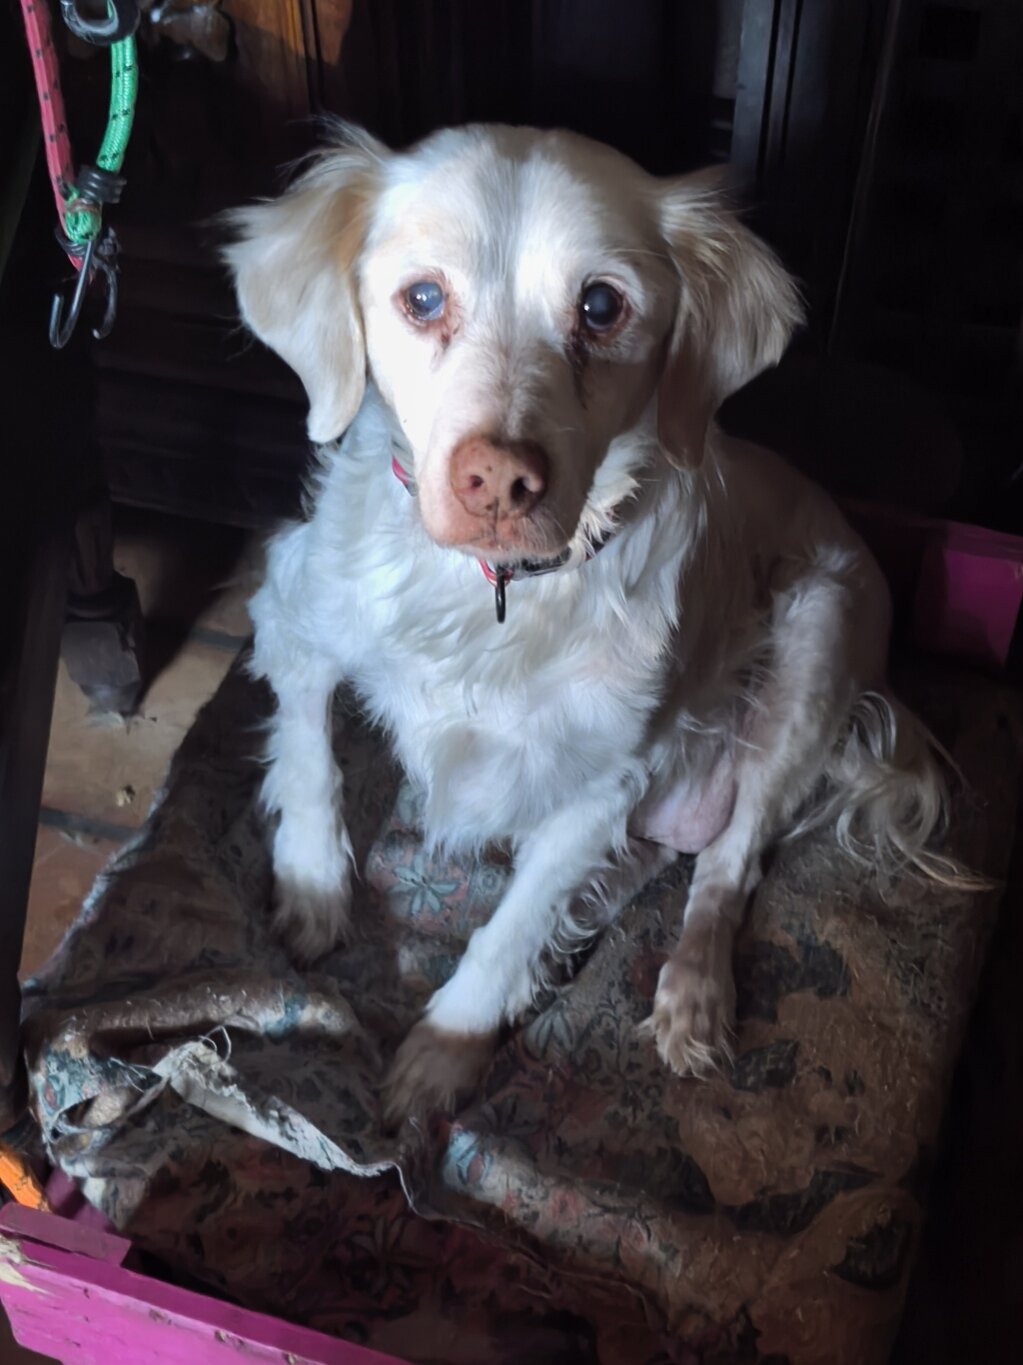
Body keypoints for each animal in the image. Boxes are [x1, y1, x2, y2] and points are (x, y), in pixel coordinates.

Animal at [225, 122, 959, 1125]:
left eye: (602, 306)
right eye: (422, 298)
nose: (498, 480)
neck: (492, 596)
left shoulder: (599, 786)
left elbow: (508, 925)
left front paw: (444, 1052)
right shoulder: (290, 603)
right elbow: (307, 753)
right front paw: (310, 887)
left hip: (819, 632)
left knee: (727, 865)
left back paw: (690, 994)